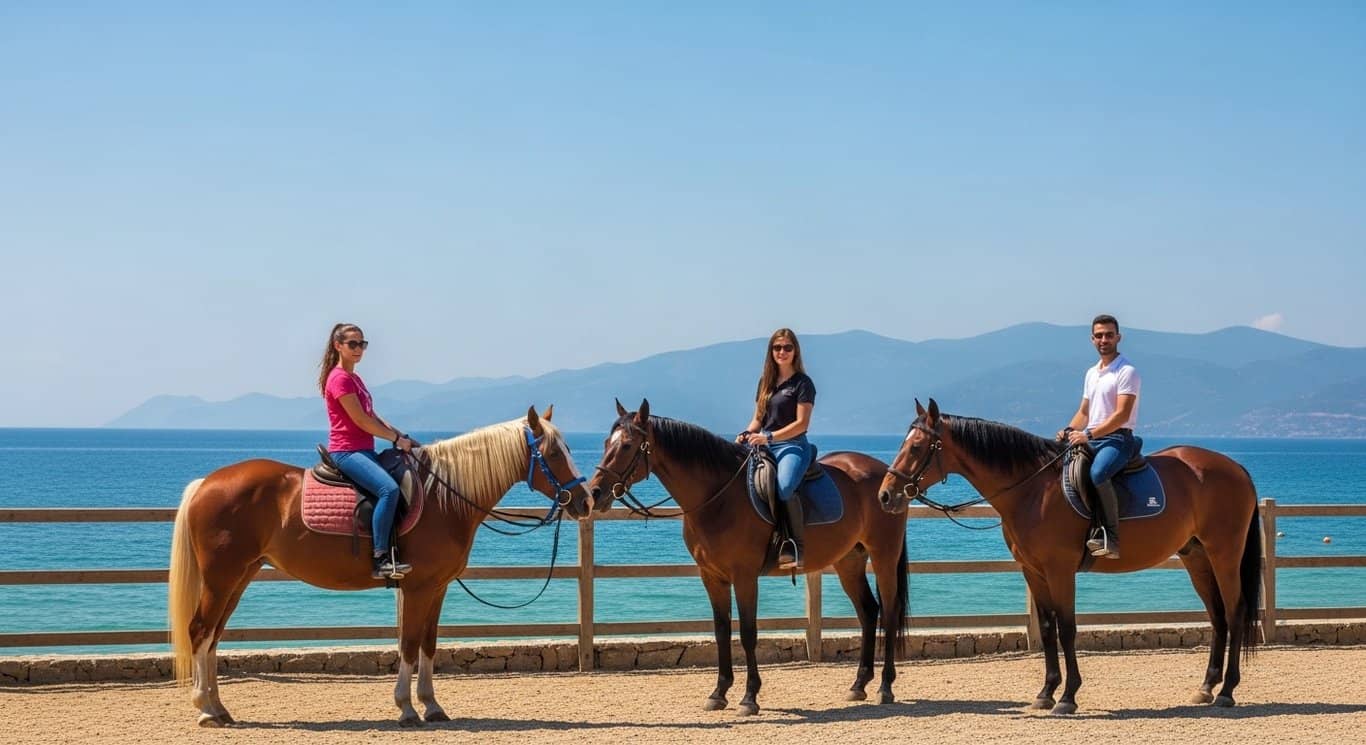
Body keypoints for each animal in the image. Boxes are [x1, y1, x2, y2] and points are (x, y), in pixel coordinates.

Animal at [168, 406, 588, 727]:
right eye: (553, 454)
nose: (584, 500)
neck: (443, 498)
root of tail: (207, 482)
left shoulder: (437, 588)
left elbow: (429, 645)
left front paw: (432, 706)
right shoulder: (417, 588)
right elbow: (408, 644)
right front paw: (406, 709)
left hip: (239, 577)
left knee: (213, 637)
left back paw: (220, 709)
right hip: (222, 578)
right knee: (200, 631)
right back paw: (205, 710)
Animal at [567, 399, 909, 715]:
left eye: (626, 445)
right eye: (605, 443)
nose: (595, 493)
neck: (717, 497)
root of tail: (884, 476)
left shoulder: (745, 576)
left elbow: (747, 633)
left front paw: (749, 697)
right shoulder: (712, 576)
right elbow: (721, 632)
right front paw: (719, 693)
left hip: (884, 555)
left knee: (889, 612)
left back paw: (885, 687)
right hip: (848, 561)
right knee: (869, 612)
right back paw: (859, 685)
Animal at [877, 398, 1260, 714]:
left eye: (916, 446)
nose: (885, 495)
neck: (1031, 489)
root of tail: (1237, 469)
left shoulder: (1059, 569)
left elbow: (1067, 628)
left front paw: (1068, 696)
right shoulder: (1033, 571)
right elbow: (1048, 628)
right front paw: (1046, 693)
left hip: (1224, 553)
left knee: (1235, 611)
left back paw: (1227, 690)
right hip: (1196, 557)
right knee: (1218, 616)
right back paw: (1206, 688)